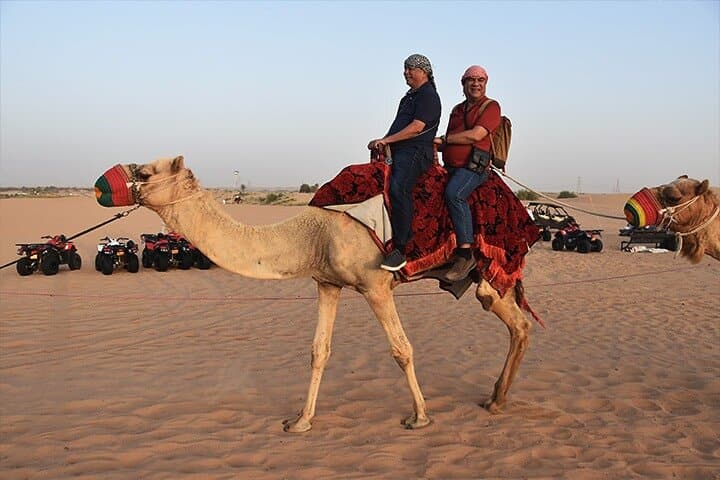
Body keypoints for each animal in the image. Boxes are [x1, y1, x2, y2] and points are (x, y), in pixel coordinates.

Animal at [97, 156, 535, 432]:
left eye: (143, 171)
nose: (101, 184)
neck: (312, 233)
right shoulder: (327, 283)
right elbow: (318, 351)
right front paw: (300, 421)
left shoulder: (376, 285)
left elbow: (401, 349)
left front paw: (420, 417)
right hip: (488, 278)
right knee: (519, 325)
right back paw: (496, 399)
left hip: (491, 269)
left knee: (516, 321)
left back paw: (497, 400)